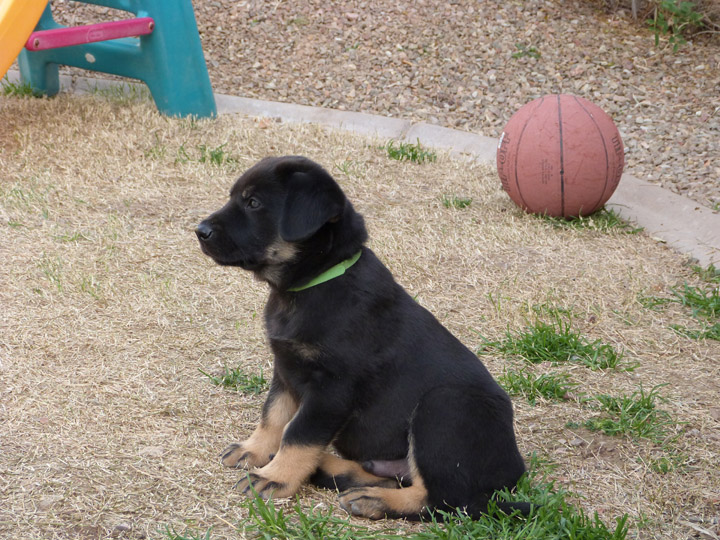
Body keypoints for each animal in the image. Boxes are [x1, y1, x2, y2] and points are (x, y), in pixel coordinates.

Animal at [197, 155, 528, 520]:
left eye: (254, 203)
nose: (200, 231)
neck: (315, 284)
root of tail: (515, 471)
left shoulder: (332, 389)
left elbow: (298, 433)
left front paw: (275, 478)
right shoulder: (285, 368)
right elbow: (274, 415)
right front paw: (254, 450)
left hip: (444, 406)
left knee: (443, 499)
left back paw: (373, 499)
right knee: (393, 476)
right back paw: (331, 469)